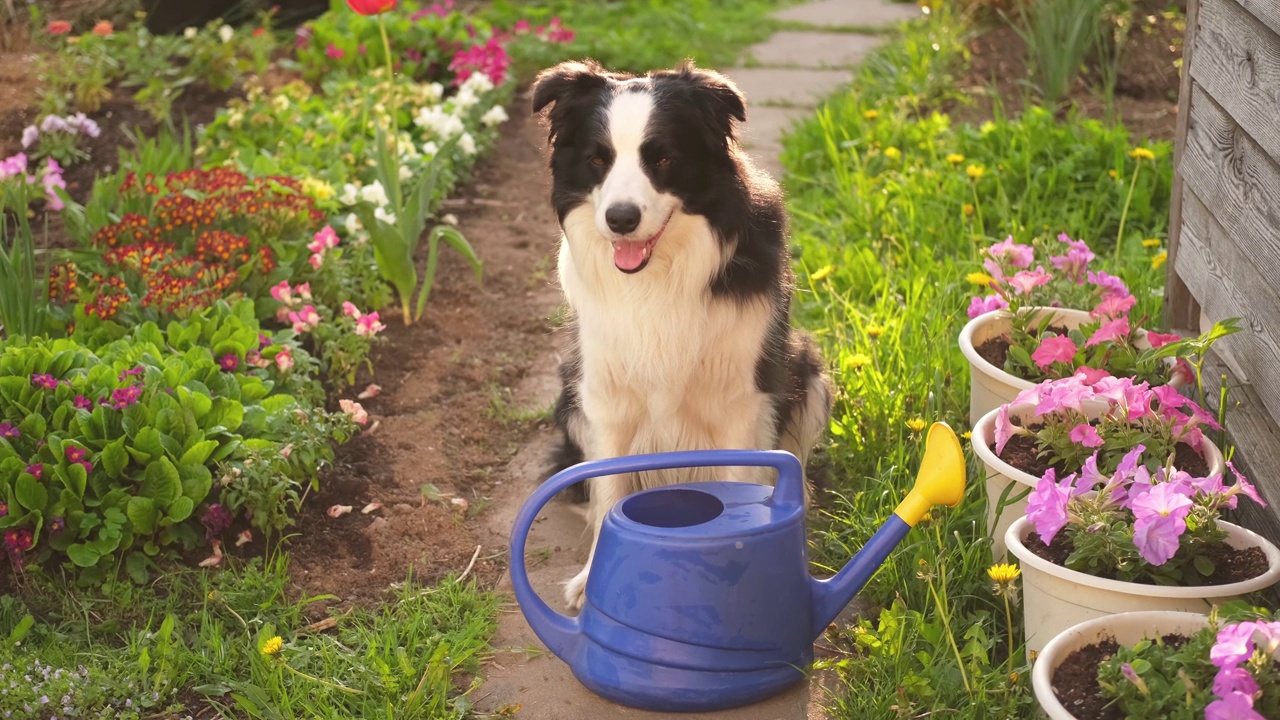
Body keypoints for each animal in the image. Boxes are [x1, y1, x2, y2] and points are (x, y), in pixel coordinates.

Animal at [529, 60, 829, 604]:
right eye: (598, 159)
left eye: (663, 158)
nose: (620, 220)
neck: (658, 276)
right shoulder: (604, 395)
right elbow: (608, 489)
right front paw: (594, 580)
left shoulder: (741, 398)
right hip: (569, 396)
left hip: (807, 370)